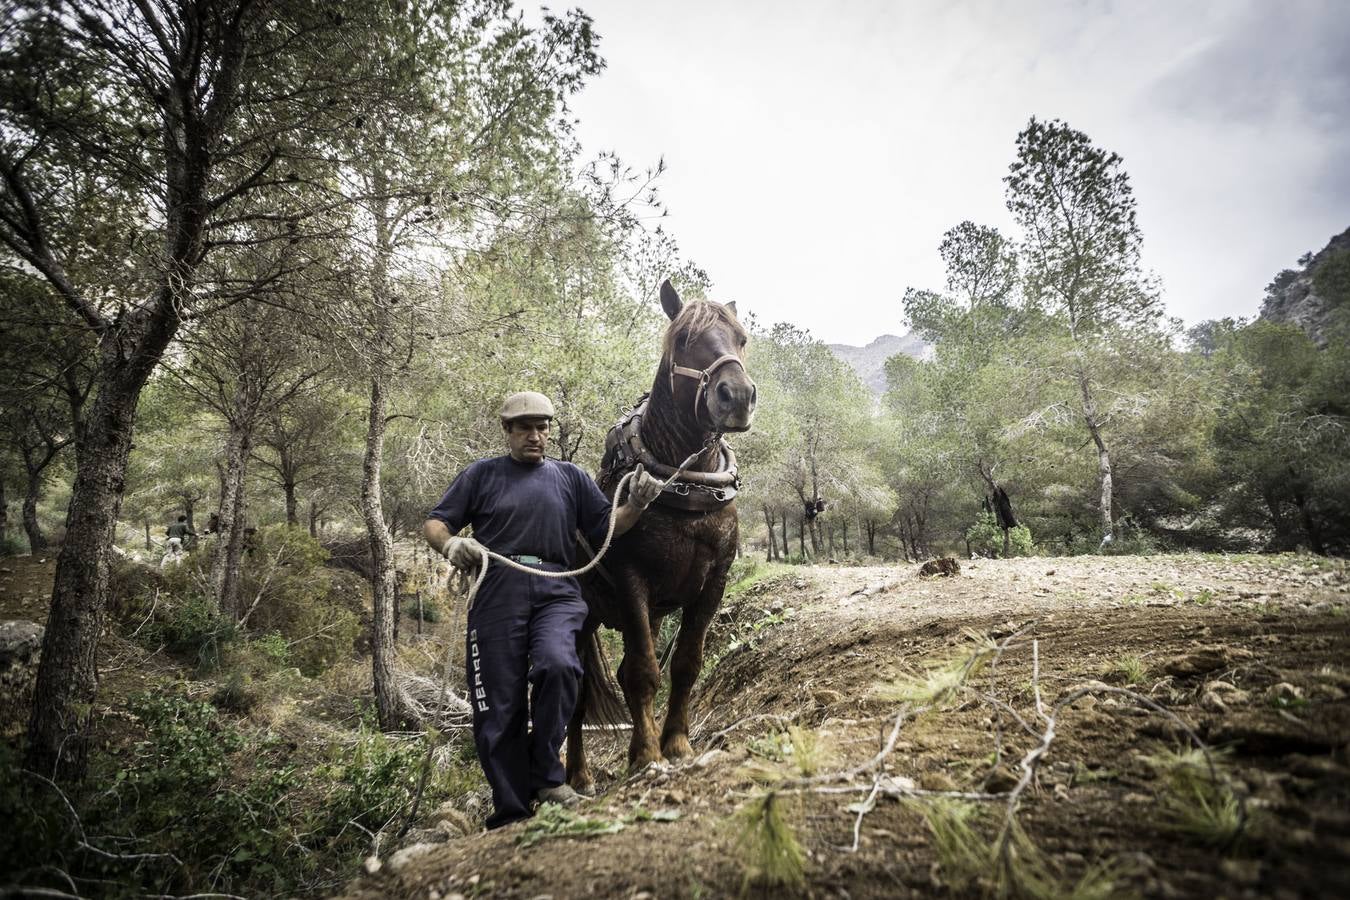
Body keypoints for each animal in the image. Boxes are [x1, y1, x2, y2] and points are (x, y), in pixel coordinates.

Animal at [567, 276, 761, 788]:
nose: (737, 395)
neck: (683, 484)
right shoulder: (632, 580)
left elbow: (685, 663)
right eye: (684, 339)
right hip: (585, 619)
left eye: (741, 339)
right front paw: (647, 755)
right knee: (579, 692)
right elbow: (643, 673)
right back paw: (578, 774)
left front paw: (673, 742)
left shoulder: (713, 582)